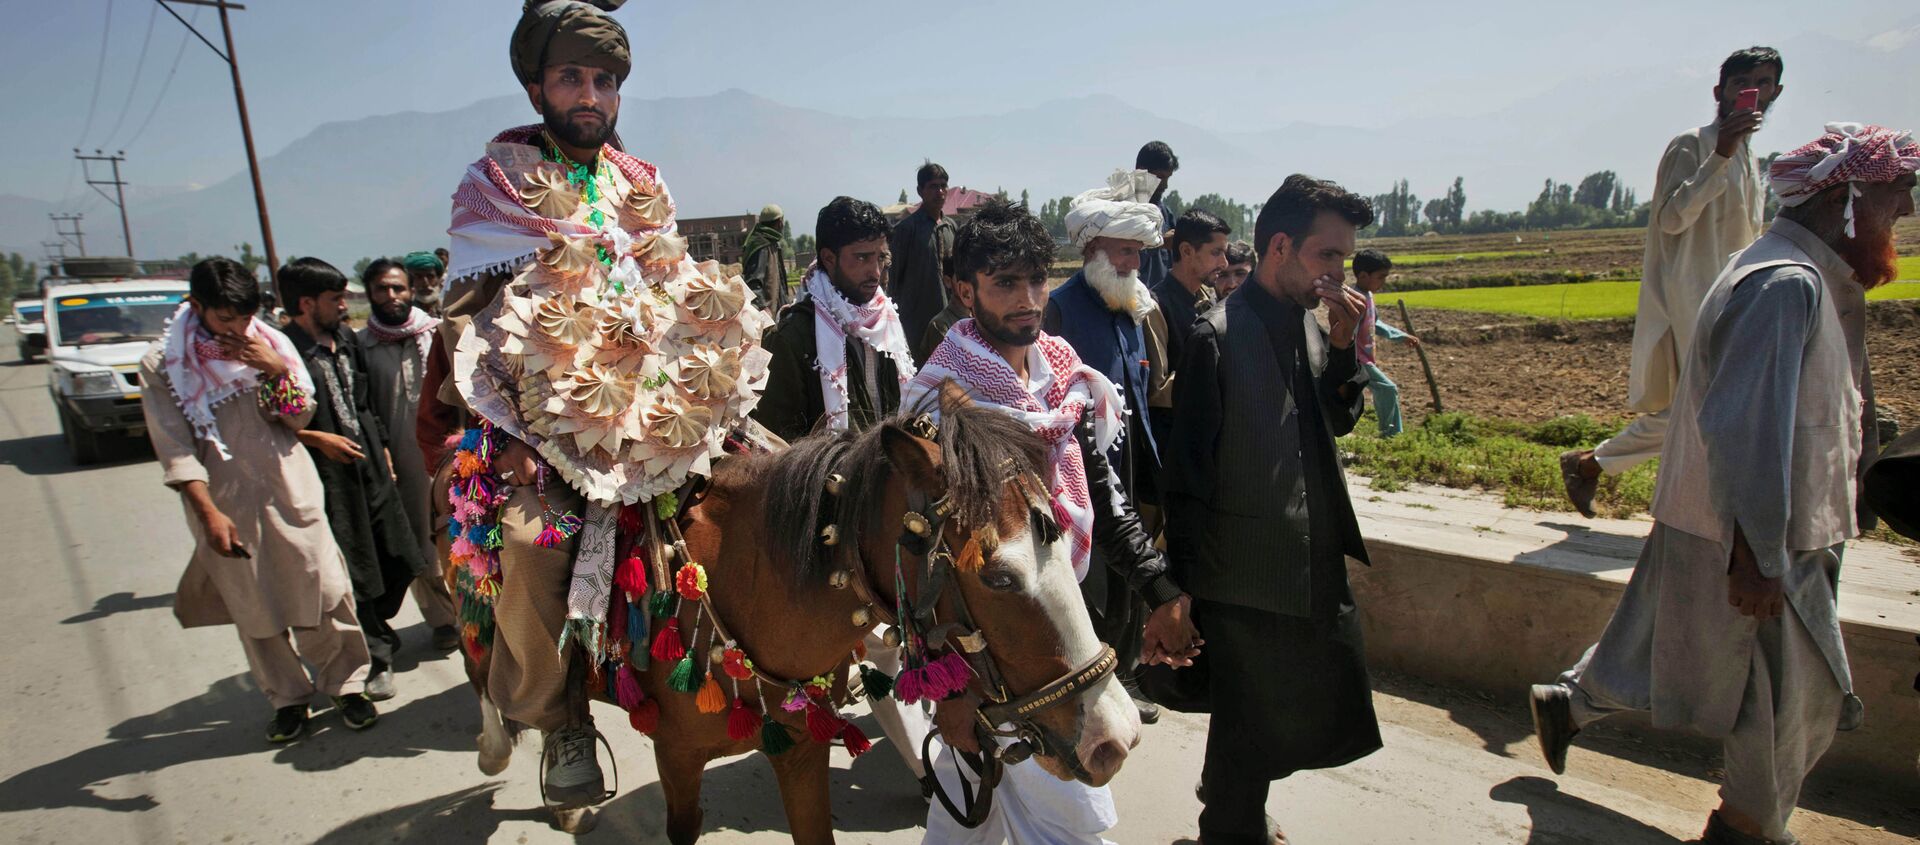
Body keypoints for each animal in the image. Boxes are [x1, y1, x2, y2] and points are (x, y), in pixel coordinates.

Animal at [451, 397, 1136, 845]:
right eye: (998, 577)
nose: (1115, 737)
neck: (745, 578)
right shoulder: (677, 757)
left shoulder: (803, 752)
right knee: (491, 675)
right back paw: (512, 759)